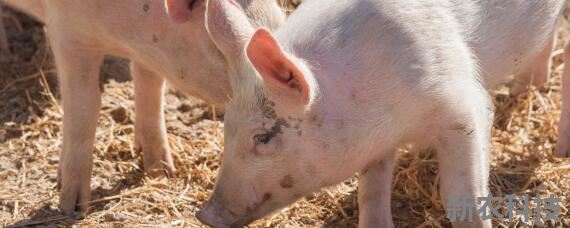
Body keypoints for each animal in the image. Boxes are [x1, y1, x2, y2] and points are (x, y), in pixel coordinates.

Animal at [0, 0, 284, 217]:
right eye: (221, 48)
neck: (126, 38)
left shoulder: (152, 53)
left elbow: (150, 91)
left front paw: (162, 172)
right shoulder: (68, 34)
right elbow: (85, 106)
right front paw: (73, 208)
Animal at [196, 0, 564, 227]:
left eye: (262, 136)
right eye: (225, 128)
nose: (206, 215)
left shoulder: (463, 105)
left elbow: (462, 195)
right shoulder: (375, 142)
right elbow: (370, 192)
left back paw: (561, 151)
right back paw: (526, 88)